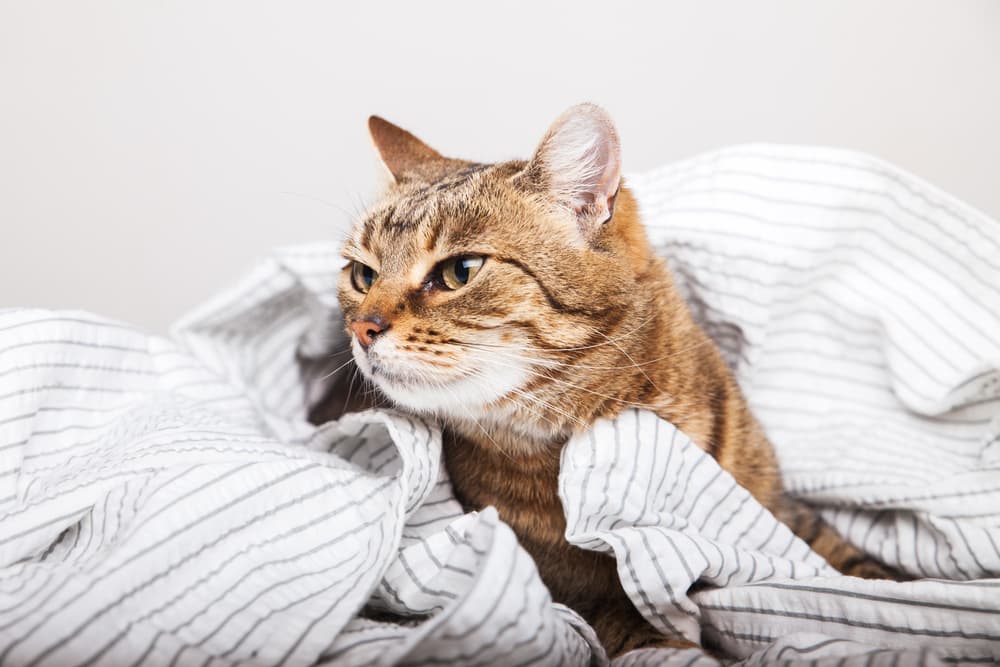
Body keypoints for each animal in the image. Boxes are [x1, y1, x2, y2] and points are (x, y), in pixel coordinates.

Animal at [314, 104, 900, 656]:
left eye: (460, 271)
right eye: (362, 274)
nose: (364, 327)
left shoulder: (783, 513)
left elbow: (858, 575)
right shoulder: (573, 594)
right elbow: (641, 623)